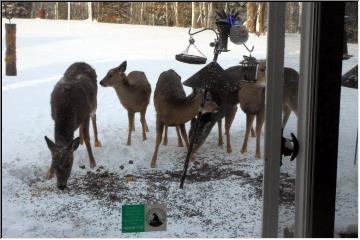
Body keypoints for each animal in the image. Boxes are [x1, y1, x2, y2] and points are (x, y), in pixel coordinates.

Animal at [45, 62, 101, 190]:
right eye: (54, 162)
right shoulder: (53, 117)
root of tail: (82, 62)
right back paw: (80, 141)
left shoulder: (85, 114)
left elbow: (87, 137)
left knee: (94, 117)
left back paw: (96, 141)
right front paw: (49, 173)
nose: (61, 185)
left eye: (69, 163)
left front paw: (92, 162)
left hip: (93, 104)